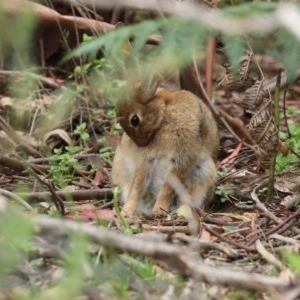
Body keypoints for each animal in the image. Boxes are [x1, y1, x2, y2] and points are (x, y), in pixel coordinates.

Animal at [111, 82, 219, 216]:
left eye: (134, 120)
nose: (140, 144)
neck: (164, 114)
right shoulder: (146, 160)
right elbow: (138, 186)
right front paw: (126, 211)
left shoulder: (181, 159)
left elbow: (168, 189)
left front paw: (159, 210)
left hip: (204, 172)